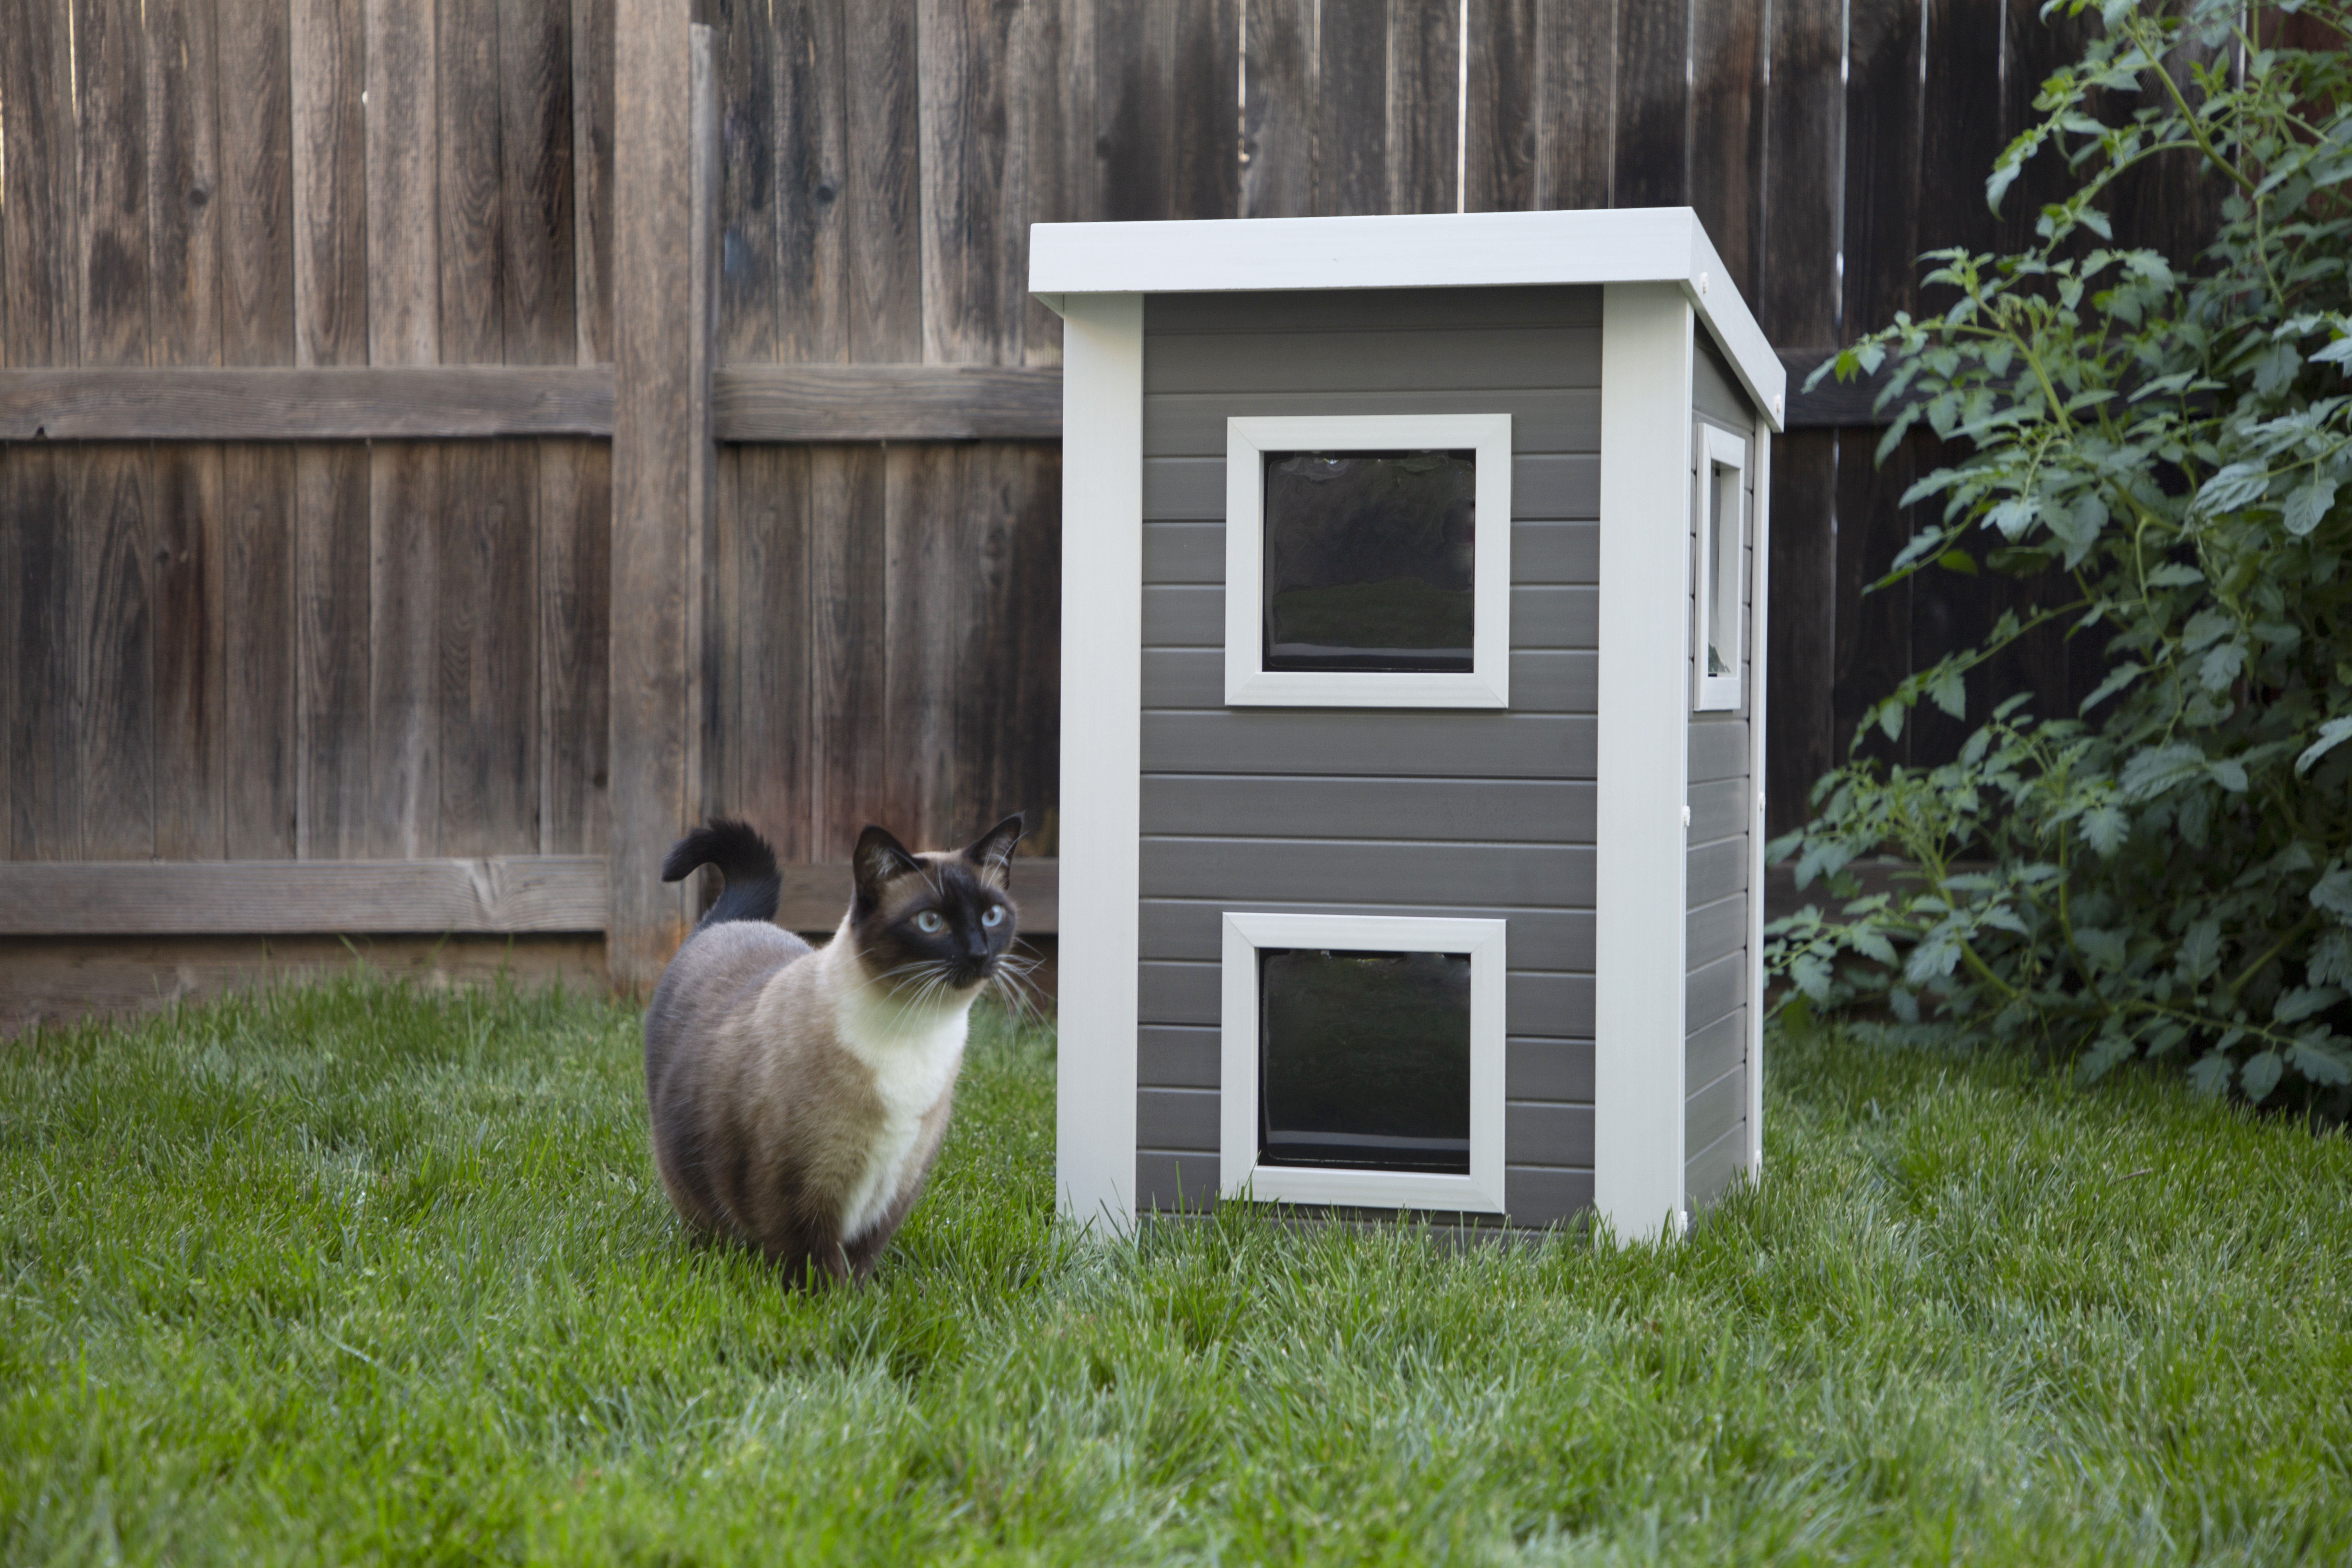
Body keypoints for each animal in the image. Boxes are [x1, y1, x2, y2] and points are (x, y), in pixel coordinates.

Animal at [644, 818, 1020, 1278]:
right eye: (931, 922)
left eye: (992, 915)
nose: (979, 954)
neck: (917, 1033)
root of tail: (725, 923)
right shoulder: (804, 1190)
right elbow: (817, 1267)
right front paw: (827, 1299)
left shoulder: (897, 1184)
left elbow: (860, 1260)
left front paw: (860, 1296)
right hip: (687, 1175)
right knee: (704, 1221)